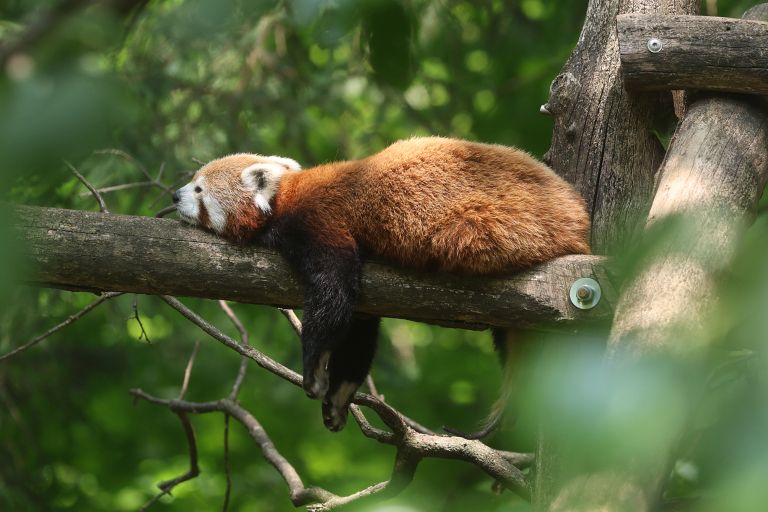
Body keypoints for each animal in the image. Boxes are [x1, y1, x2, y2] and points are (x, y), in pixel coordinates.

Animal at [173, 137, 591, 432]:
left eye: (199, 189)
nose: (175, 195)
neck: (284, 196)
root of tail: (578, 218)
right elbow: (359, 323)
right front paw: (340, 393)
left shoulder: (319, 221)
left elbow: (334, 292)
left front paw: (314, 367)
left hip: (495, 224)